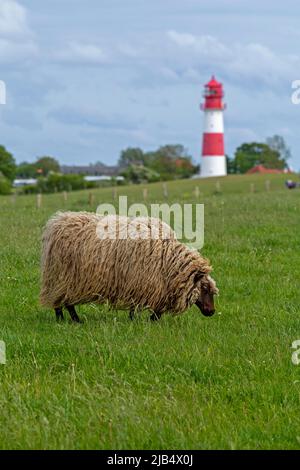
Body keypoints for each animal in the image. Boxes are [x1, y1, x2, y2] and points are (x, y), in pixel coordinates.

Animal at [39, 212, 218, 324]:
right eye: (204, 288)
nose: (212, 312)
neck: (167, 257)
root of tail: (56, 222)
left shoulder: (148, 285)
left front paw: (144, 320)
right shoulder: (143, 283)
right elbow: (147, 308)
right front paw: (146, 321)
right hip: (63, 277)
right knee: (63, 301)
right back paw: (70, 320)